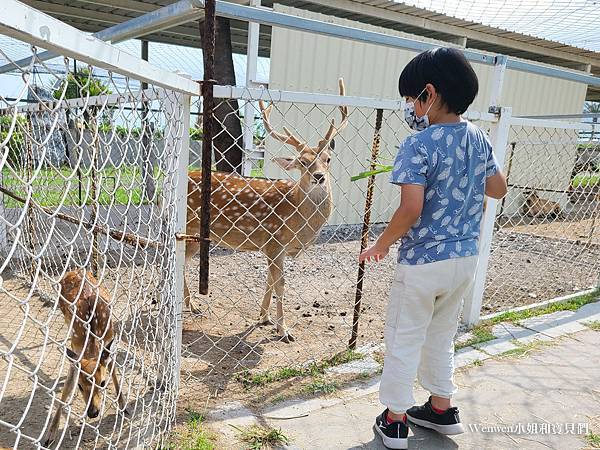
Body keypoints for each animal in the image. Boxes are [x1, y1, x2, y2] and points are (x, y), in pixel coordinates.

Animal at [44, 268, 129, 448]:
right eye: (80, 386)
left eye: (103, 383)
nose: (93, 413)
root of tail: (76, 269)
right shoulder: (76, 354)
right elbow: (65, 392)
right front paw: (50, 435)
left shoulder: (109, 340)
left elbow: (113, 370)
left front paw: (123, 406)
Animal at [185, 79, 350, 342]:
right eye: (302, 161)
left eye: (327, 159)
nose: (319, 176)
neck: (296, 218)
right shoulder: (274, 242)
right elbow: (280, 284)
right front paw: (284, 330)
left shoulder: (272, 248)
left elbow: (270, 281)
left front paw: (264, 317)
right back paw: (190, 304)